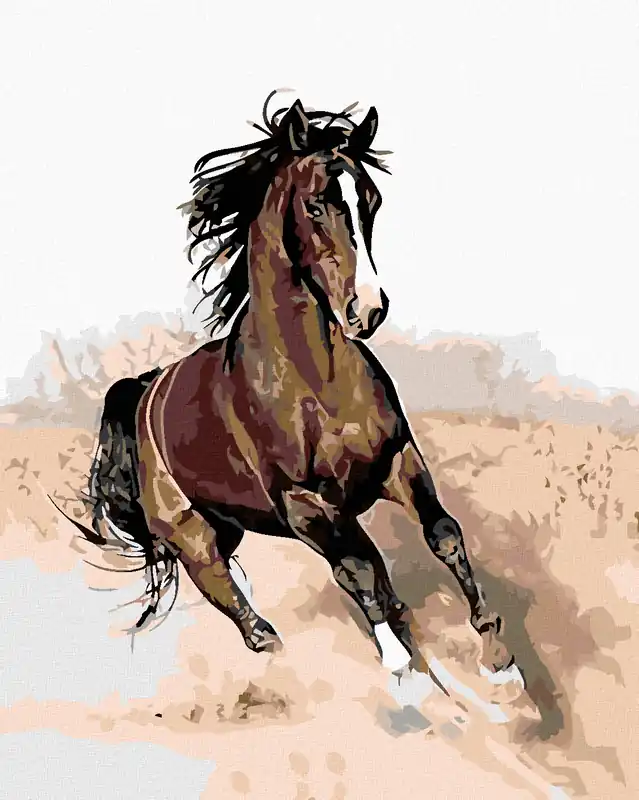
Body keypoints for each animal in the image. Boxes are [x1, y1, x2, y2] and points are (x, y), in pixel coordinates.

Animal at [53, 94, 520, 692]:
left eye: (371, 201)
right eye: (317, 205)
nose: (368, 309)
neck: (316, 384)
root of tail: (144, 390)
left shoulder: (396, 462)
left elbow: (441, 534)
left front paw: (498, 656)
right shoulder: (303, 505)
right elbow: (357, 569)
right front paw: (399, 664)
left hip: (231, 524)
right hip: (193, 533)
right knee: (222, 586)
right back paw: (269, 641)